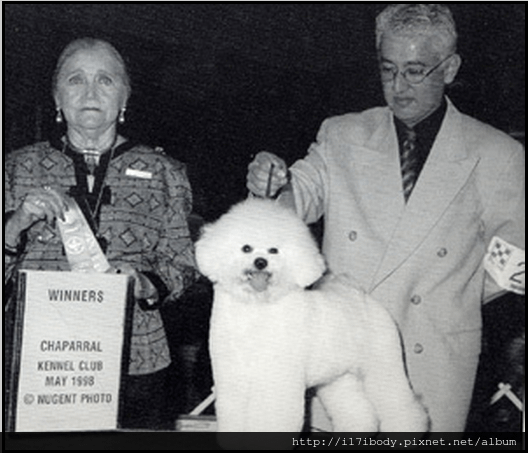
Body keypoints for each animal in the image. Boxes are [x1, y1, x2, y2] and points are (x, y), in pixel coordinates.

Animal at [194, 198, 428, 430]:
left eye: (274, 250)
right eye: (246, 248)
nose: (260, 262)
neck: (256, 309)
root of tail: (360, 297)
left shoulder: (276, 383)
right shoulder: (233, 382)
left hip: (383, 363)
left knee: (402, 408)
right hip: (338, 377)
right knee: (358, 413)